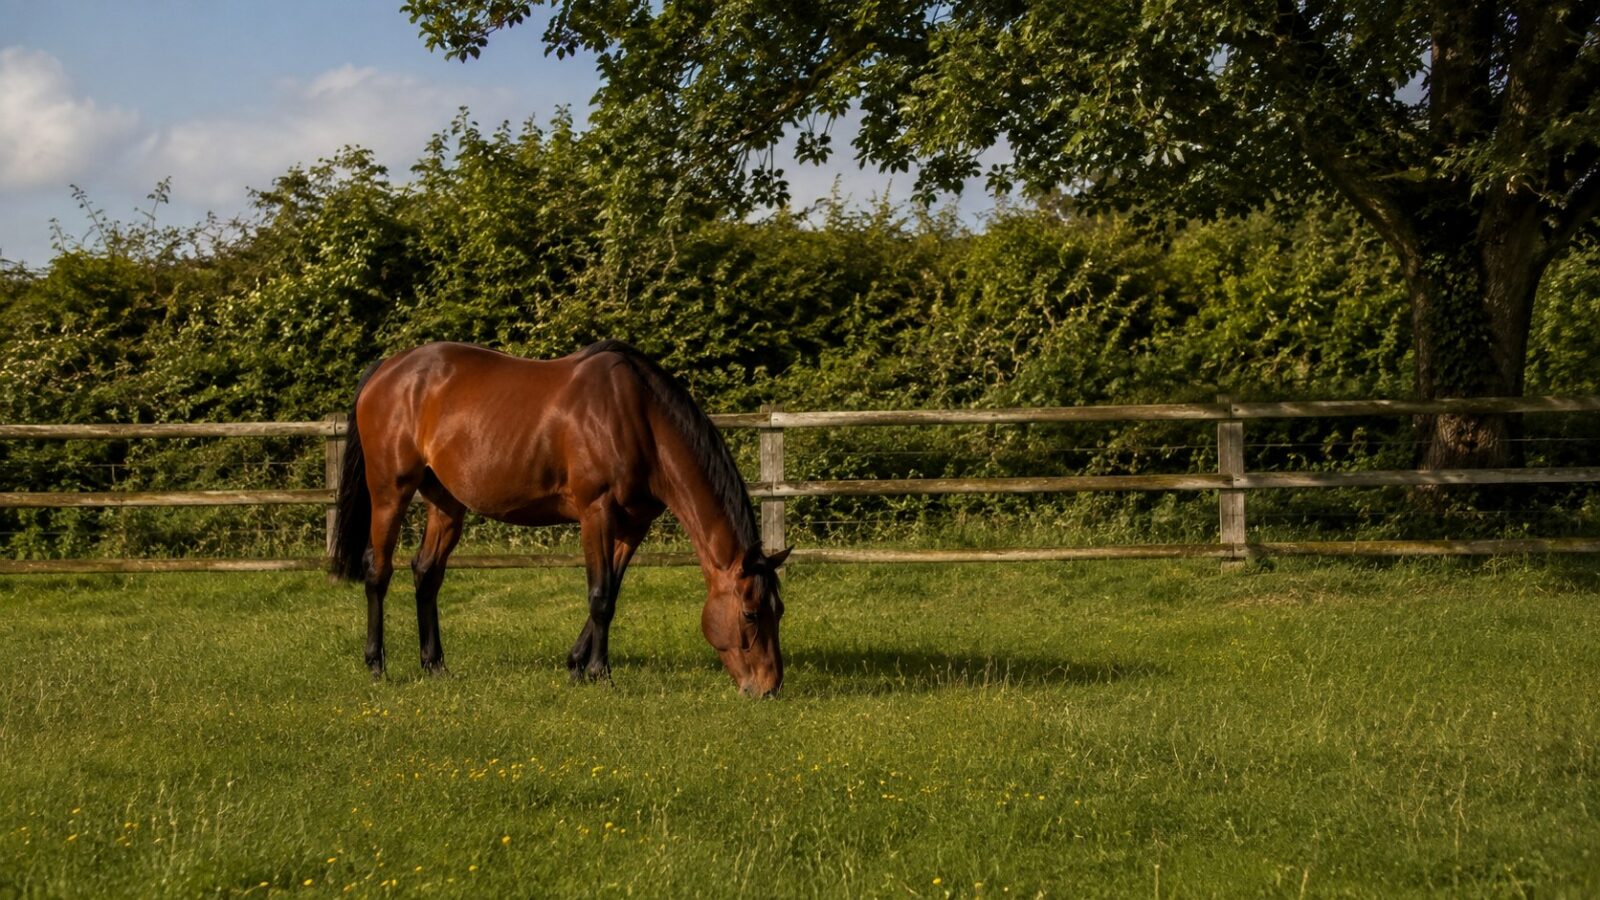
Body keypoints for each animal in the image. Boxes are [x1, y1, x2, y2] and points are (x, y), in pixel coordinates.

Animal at [328, 340, 790, 696]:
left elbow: (612, 593)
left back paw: (435, 664)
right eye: (751, 613)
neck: (638, 418)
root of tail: (387, 368)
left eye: (780, 610)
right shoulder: (596, 513)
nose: (768, 687)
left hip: (446, 503)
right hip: (390, 492)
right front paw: (600, 674)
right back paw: (376, 664)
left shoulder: (633, 526)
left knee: (426, 574)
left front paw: (575, 665)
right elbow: (600, 595)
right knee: (378, 571)